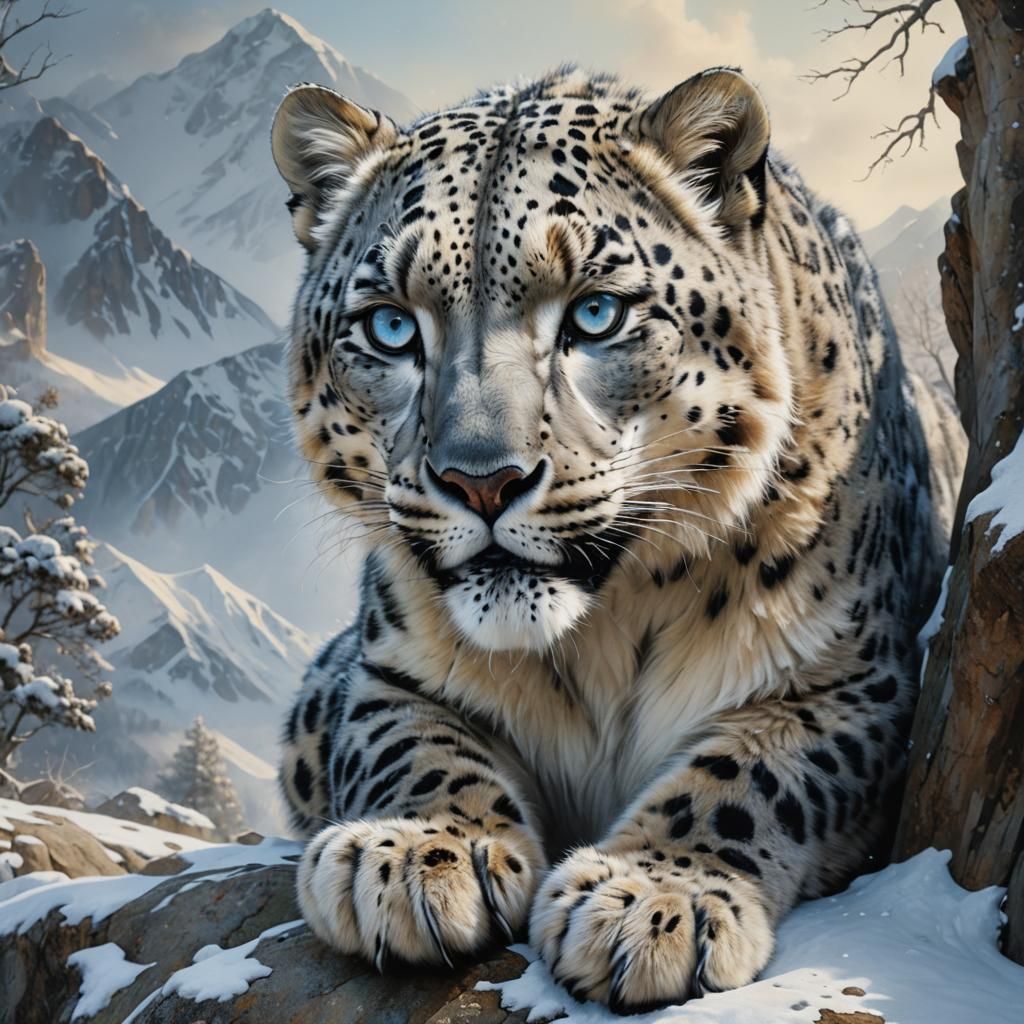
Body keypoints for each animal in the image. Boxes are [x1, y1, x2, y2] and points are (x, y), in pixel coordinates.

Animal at [270, 66, 964, 1012]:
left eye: (596, 313)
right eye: (390, 325)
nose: (480, 479)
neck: (602, 640)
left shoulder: (859, 678)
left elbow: (754, 773)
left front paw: (654, 899)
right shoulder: (379, 666)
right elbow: (404, 740)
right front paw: (418, 851)